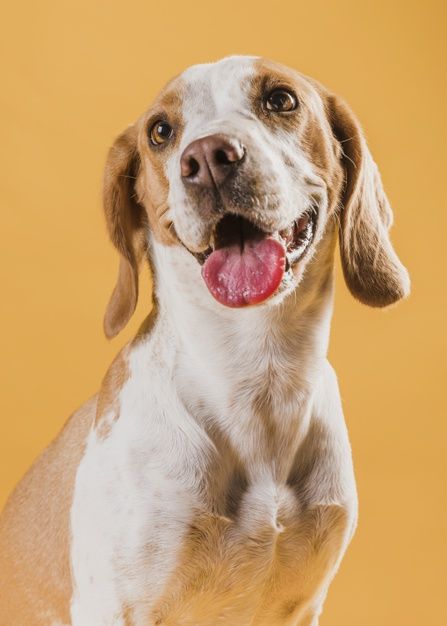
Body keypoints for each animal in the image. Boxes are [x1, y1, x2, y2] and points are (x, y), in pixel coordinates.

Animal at [0, 56, 412, 620]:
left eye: (281, 99)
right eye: (159, 131)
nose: (209, 158)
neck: (258, 377)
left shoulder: (304, 605)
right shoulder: (119, 606)